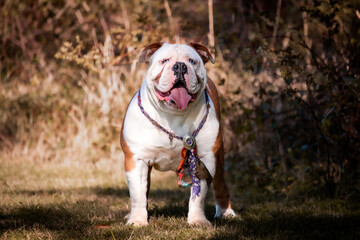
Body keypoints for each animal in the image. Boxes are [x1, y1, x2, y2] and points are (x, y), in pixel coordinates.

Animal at [119, 42, 235, 226]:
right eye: (165, 60)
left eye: (192, 61)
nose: (180, 66)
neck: (174, 116)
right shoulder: (136, 159)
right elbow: (138, 194)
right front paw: (137, 220)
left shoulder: (204, 159)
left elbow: (198, 197)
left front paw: (197, 220)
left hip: (218, 159)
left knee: (220, 185)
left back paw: (226, 212)